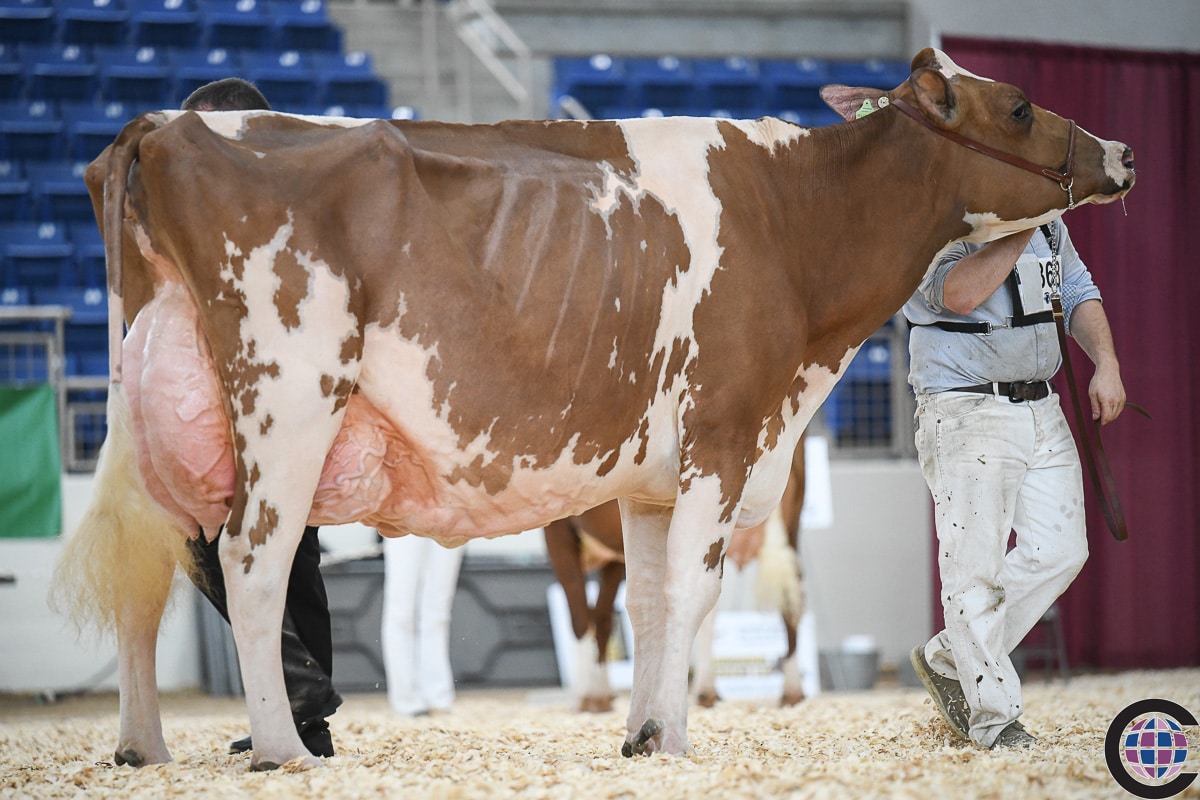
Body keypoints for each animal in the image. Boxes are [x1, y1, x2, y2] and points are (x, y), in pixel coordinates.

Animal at [51, 45, 1128, 767]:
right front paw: (676, 736)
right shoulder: (720, 437)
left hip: (146, 418)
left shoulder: (650, 481)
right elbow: (688, 595)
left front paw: (645, 732)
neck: (793, 223)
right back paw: (282, 746)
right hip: (287, 400)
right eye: (1020, 105)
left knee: (149, 575)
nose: (1119, 153)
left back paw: (143, 745)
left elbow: (648, 604)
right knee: (253, 562)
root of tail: (166, 124)